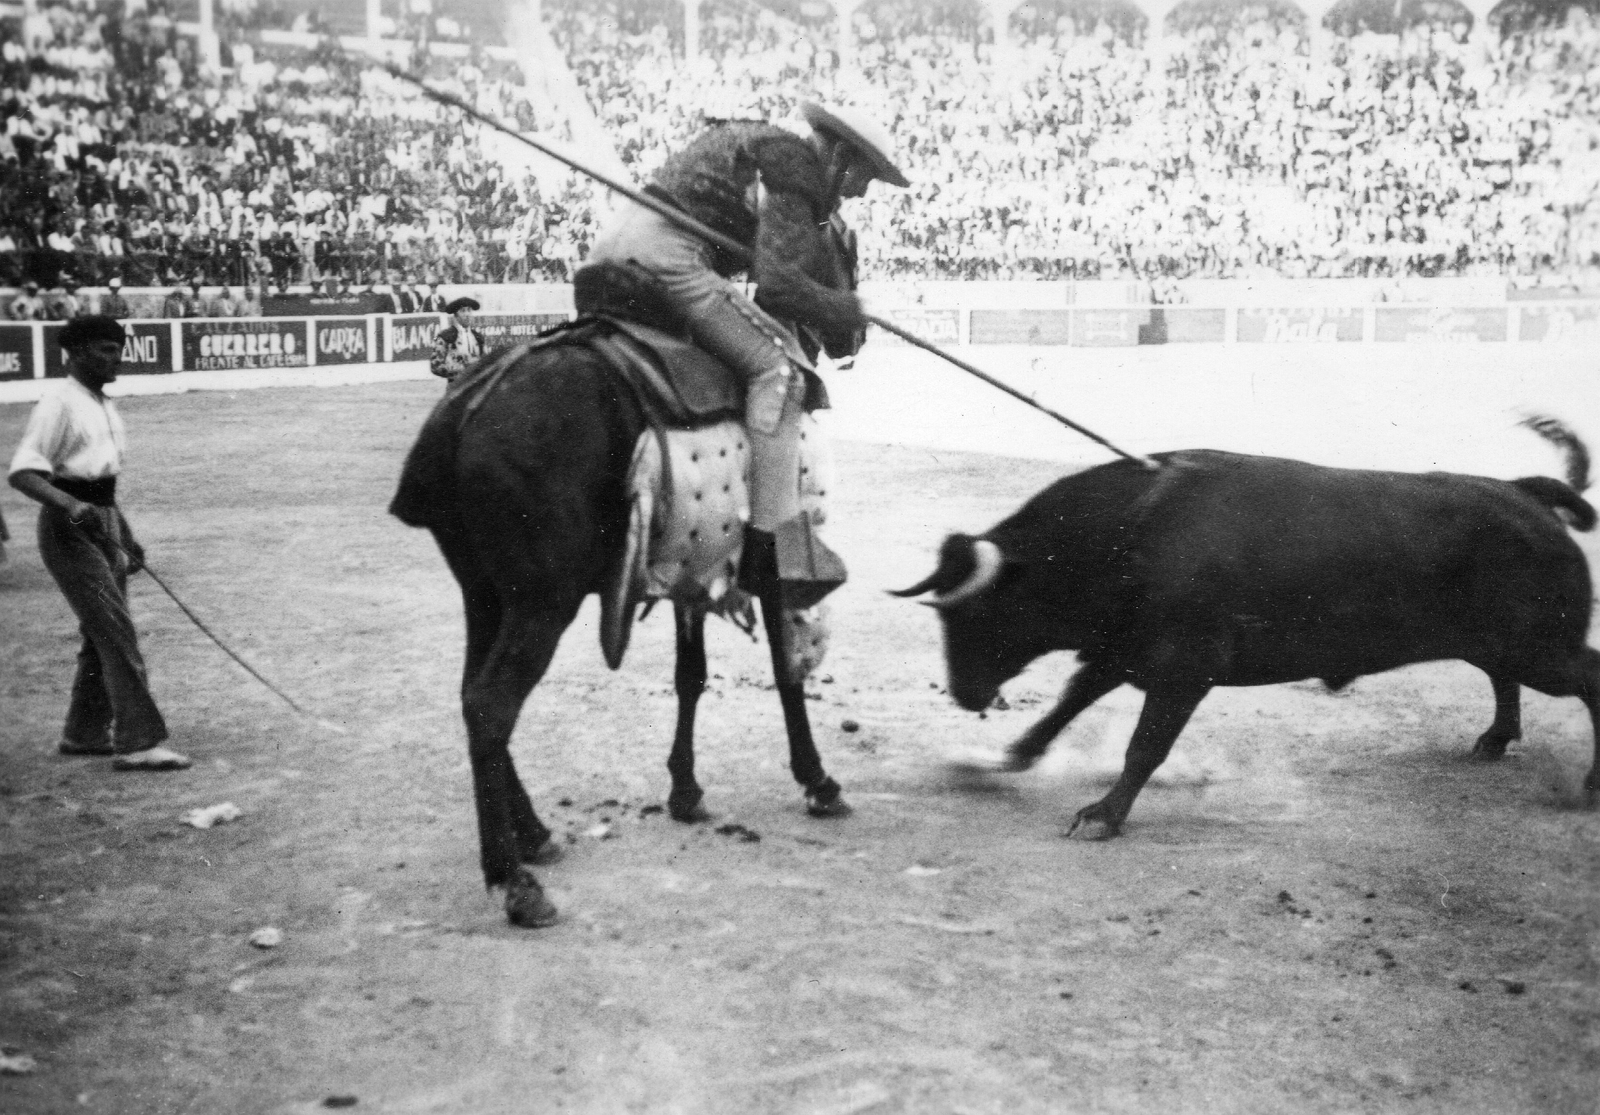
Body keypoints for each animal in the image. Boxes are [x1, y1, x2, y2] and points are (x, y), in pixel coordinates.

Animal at [390, 223, 864, 921]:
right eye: (845, 248)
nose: (855, 333)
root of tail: (468, 406)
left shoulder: (694, 572)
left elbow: (690, 676)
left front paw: (686, 790)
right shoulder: (772, 564)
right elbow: (785, 671)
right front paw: (817, 780)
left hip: (486, 593)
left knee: (472, 697)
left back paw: (533, 834)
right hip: (542, 601)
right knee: (490, 705)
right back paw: (514, 879)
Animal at [902, 435, 1600, 831]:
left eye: (975, 613)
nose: (964, 694)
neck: (1132, 529)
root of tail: (1524, 492)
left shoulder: (1184, 669)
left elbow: (1144, 746)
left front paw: (1103, 816)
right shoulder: (1120, 653)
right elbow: (1065, 708)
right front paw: (1008, 758)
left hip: (1541, 648)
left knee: (1585, 679)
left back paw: (1588, 785)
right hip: (1504, 643)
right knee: (1502, 676)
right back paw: (1494, 740)